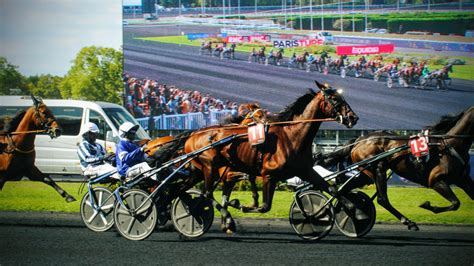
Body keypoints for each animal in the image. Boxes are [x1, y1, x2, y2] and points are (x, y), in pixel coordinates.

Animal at [183, 81, 358, 233]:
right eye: (334, 98)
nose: (353, 117)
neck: (292, 137)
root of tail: (193, 134)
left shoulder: (305, 171)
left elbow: (332, 189)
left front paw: (354, 211)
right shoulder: (268, 175)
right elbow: (264, 206)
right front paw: (240, 204)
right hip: (209, 166)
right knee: (207, 193)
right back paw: (224, 218)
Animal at [322, 106, 474, 231]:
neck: (449, 144)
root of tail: (359, 141)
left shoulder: (463, 179)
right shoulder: (436, 180)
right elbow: (455, 203)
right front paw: (428, 205)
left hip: (366, 174)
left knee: (341, 190)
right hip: (378, 168)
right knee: (382, 199)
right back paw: (408, 222)